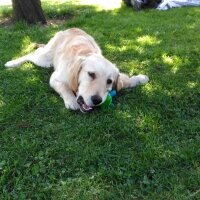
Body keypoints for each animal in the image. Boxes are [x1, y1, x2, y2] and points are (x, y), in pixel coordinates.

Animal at [4, 27, 149, 112]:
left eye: (109, 81)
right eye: (91, 74)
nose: (97, 100)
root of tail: (70, 28)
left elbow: (125, 81)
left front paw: (141, 78)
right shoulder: (55, 78)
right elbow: (64, 87)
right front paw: (71, 100)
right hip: (44, 60)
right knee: (32, 54)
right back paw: (11, 63)